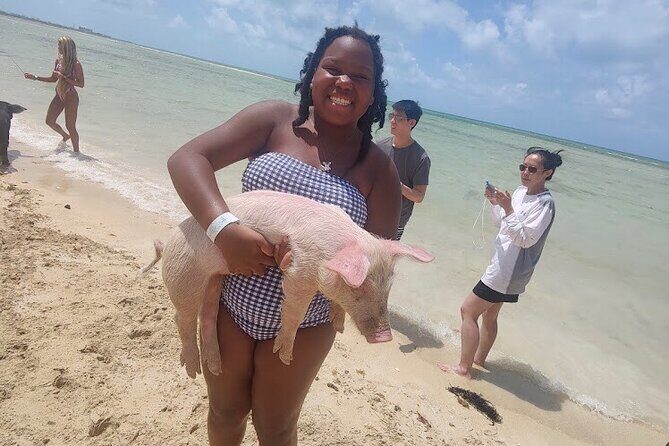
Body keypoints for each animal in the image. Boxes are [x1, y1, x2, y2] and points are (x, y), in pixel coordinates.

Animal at [143, 190, 434, 378]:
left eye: (389, 285)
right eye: (360, 287)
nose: (385, 337)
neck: (332, 248)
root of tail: (166, 245)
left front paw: (338, 324)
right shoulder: (299, 268)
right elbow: (295, 309)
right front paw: (284, 356)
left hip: (214, 281)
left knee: (206, 318)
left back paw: (214, 368)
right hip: (184, 275)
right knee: (182, 317)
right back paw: (193, 370)